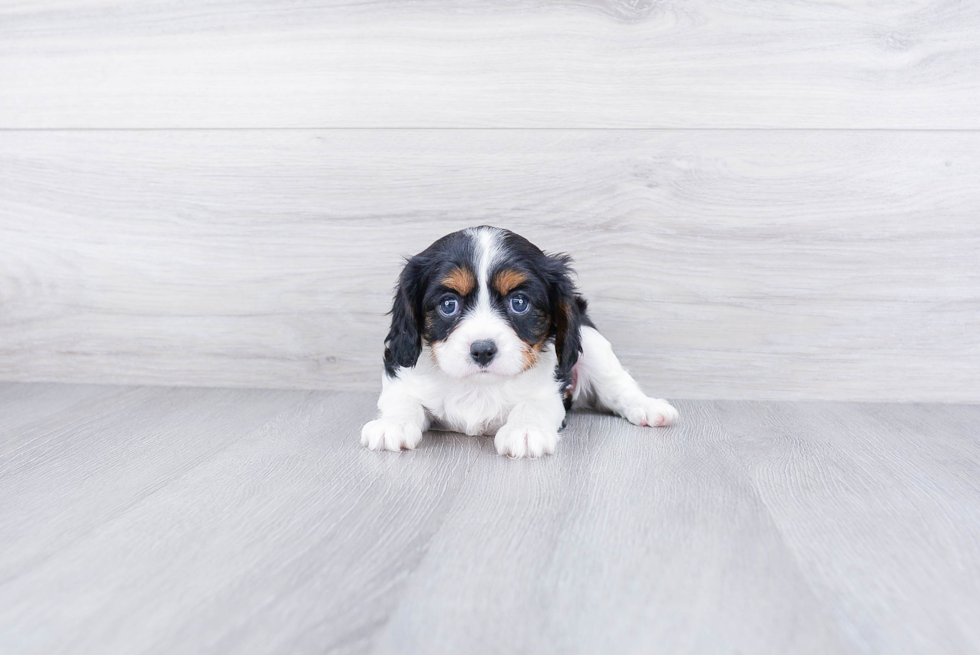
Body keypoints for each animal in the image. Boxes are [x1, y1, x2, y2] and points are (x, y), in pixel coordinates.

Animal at [362, 228, 680, 458]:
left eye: (519, 303)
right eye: (448, 304)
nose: (483, 350)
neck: (479, 385)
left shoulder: (549, 392)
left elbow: (533, 406)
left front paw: (526, 432)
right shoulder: (401, 376)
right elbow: (402, 401)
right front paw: (392, 424)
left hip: (590, 340)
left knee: (617, 385)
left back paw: (648, 407)